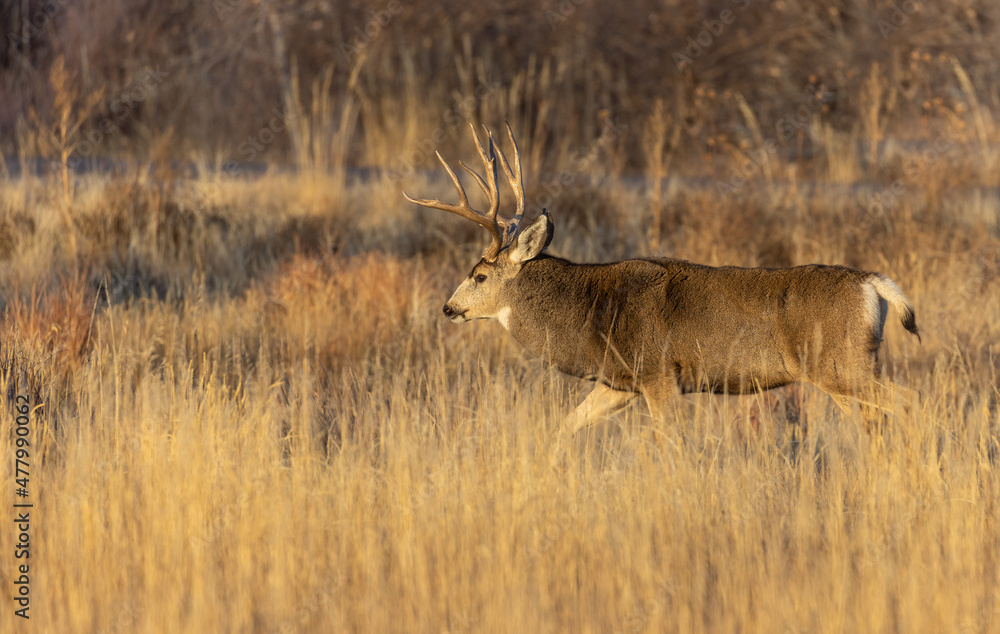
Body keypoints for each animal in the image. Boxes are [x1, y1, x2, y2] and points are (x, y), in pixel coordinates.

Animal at [404, 123, 920, 471]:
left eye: (479, 275)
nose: (449, 308)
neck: (588, 312)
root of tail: (872, 284)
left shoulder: (658, 374)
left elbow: (671, 446)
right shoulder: (618, 383)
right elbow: (565, 427)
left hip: (841, 365)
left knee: (910, 399)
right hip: (842, 373)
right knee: (875, 421)